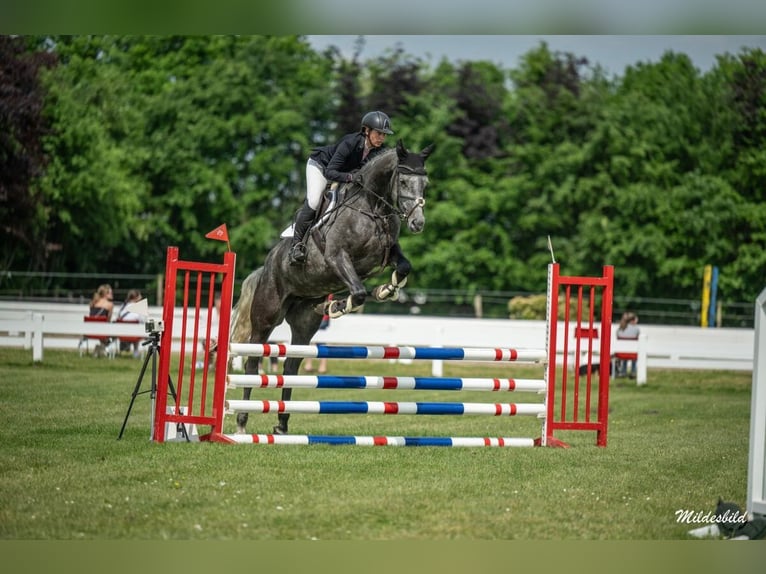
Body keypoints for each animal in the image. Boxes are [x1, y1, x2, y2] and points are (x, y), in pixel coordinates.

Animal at [228, 140, 436, 434]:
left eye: (425, 183)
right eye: (404, 181)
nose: (418, 223)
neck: (373, 207)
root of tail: (266, 267)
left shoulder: (387, 254)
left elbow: (403, 268)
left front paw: (386, 290)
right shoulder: (338, 258)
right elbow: (357, 293)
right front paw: (339, 305)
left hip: (303, 323)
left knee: (292, 364)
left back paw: (282, 424)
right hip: (266, 316)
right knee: (253, 360)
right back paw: (242, 422)